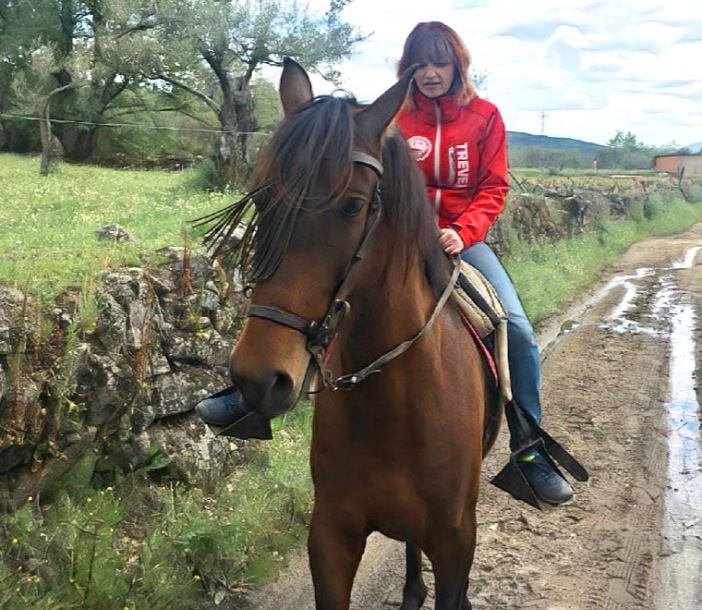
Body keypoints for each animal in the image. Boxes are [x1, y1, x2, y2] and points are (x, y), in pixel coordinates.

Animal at [206, 58, 500, 610]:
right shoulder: (330, 536)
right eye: (264, 197)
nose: (258, 376)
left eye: (353, 205)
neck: (395, 402)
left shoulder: (456, 543)